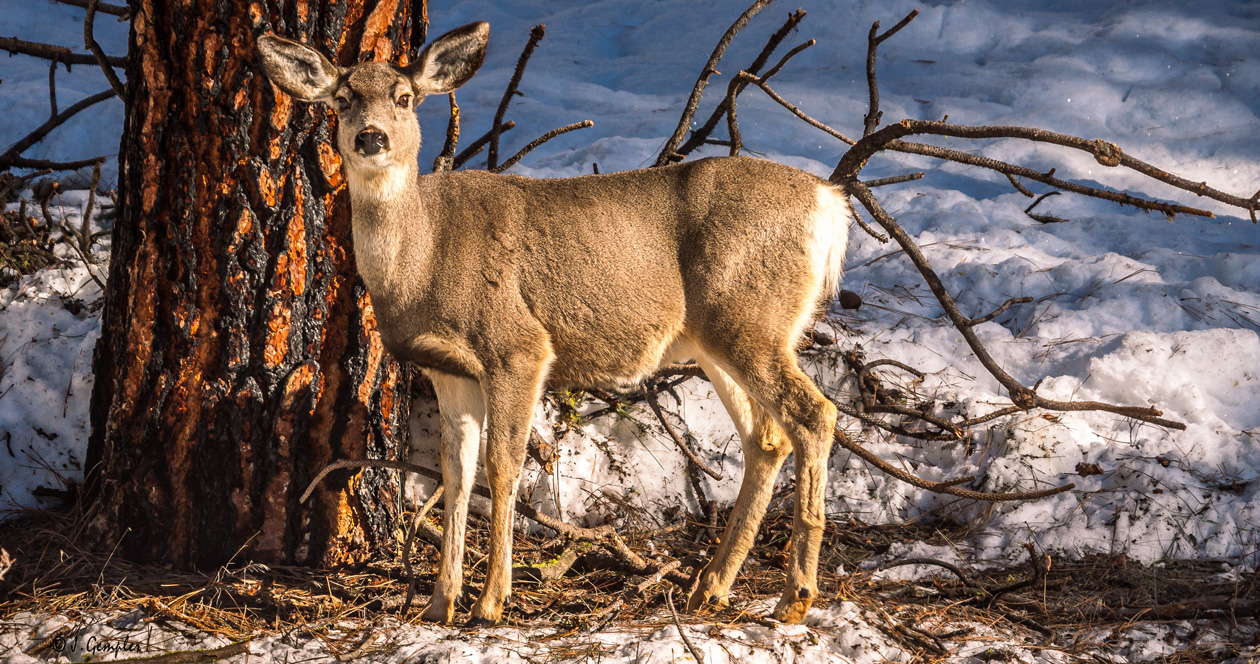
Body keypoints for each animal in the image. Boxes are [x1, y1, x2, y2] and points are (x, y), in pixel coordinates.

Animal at [255, 22, 846, 629]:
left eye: (404, 97)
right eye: (343, 97)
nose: (371, 138)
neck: (424, 260)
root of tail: (830, 203)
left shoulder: (517, 346)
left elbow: (503, 465)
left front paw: (491, 601)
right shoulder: (448, 369)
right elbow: (456, 474)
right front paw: (442, 603)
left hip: (748, 318)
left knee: (814, 414)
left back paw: (795, 596)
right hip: (719, 337)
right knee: (766, 438)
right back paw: (711, 588)